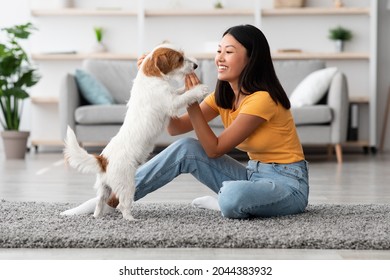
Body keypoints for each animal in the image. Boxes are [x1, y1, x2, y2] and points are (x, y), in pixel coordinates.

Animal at [64, 42, 209, 220]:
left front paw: (186, 86)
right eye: (180, 59)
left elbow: (179, 90)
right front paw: (199, 89)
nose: (196, 65)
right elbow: (184, 97)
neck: (151, 76)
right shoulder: (171, 103)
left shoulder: (171, 94)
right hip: (127, 185)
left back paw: (97, 216)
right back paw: (131, 219)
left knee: (99, 202)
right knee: (122, 205)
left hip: (104, 187)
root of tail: (103, 159)